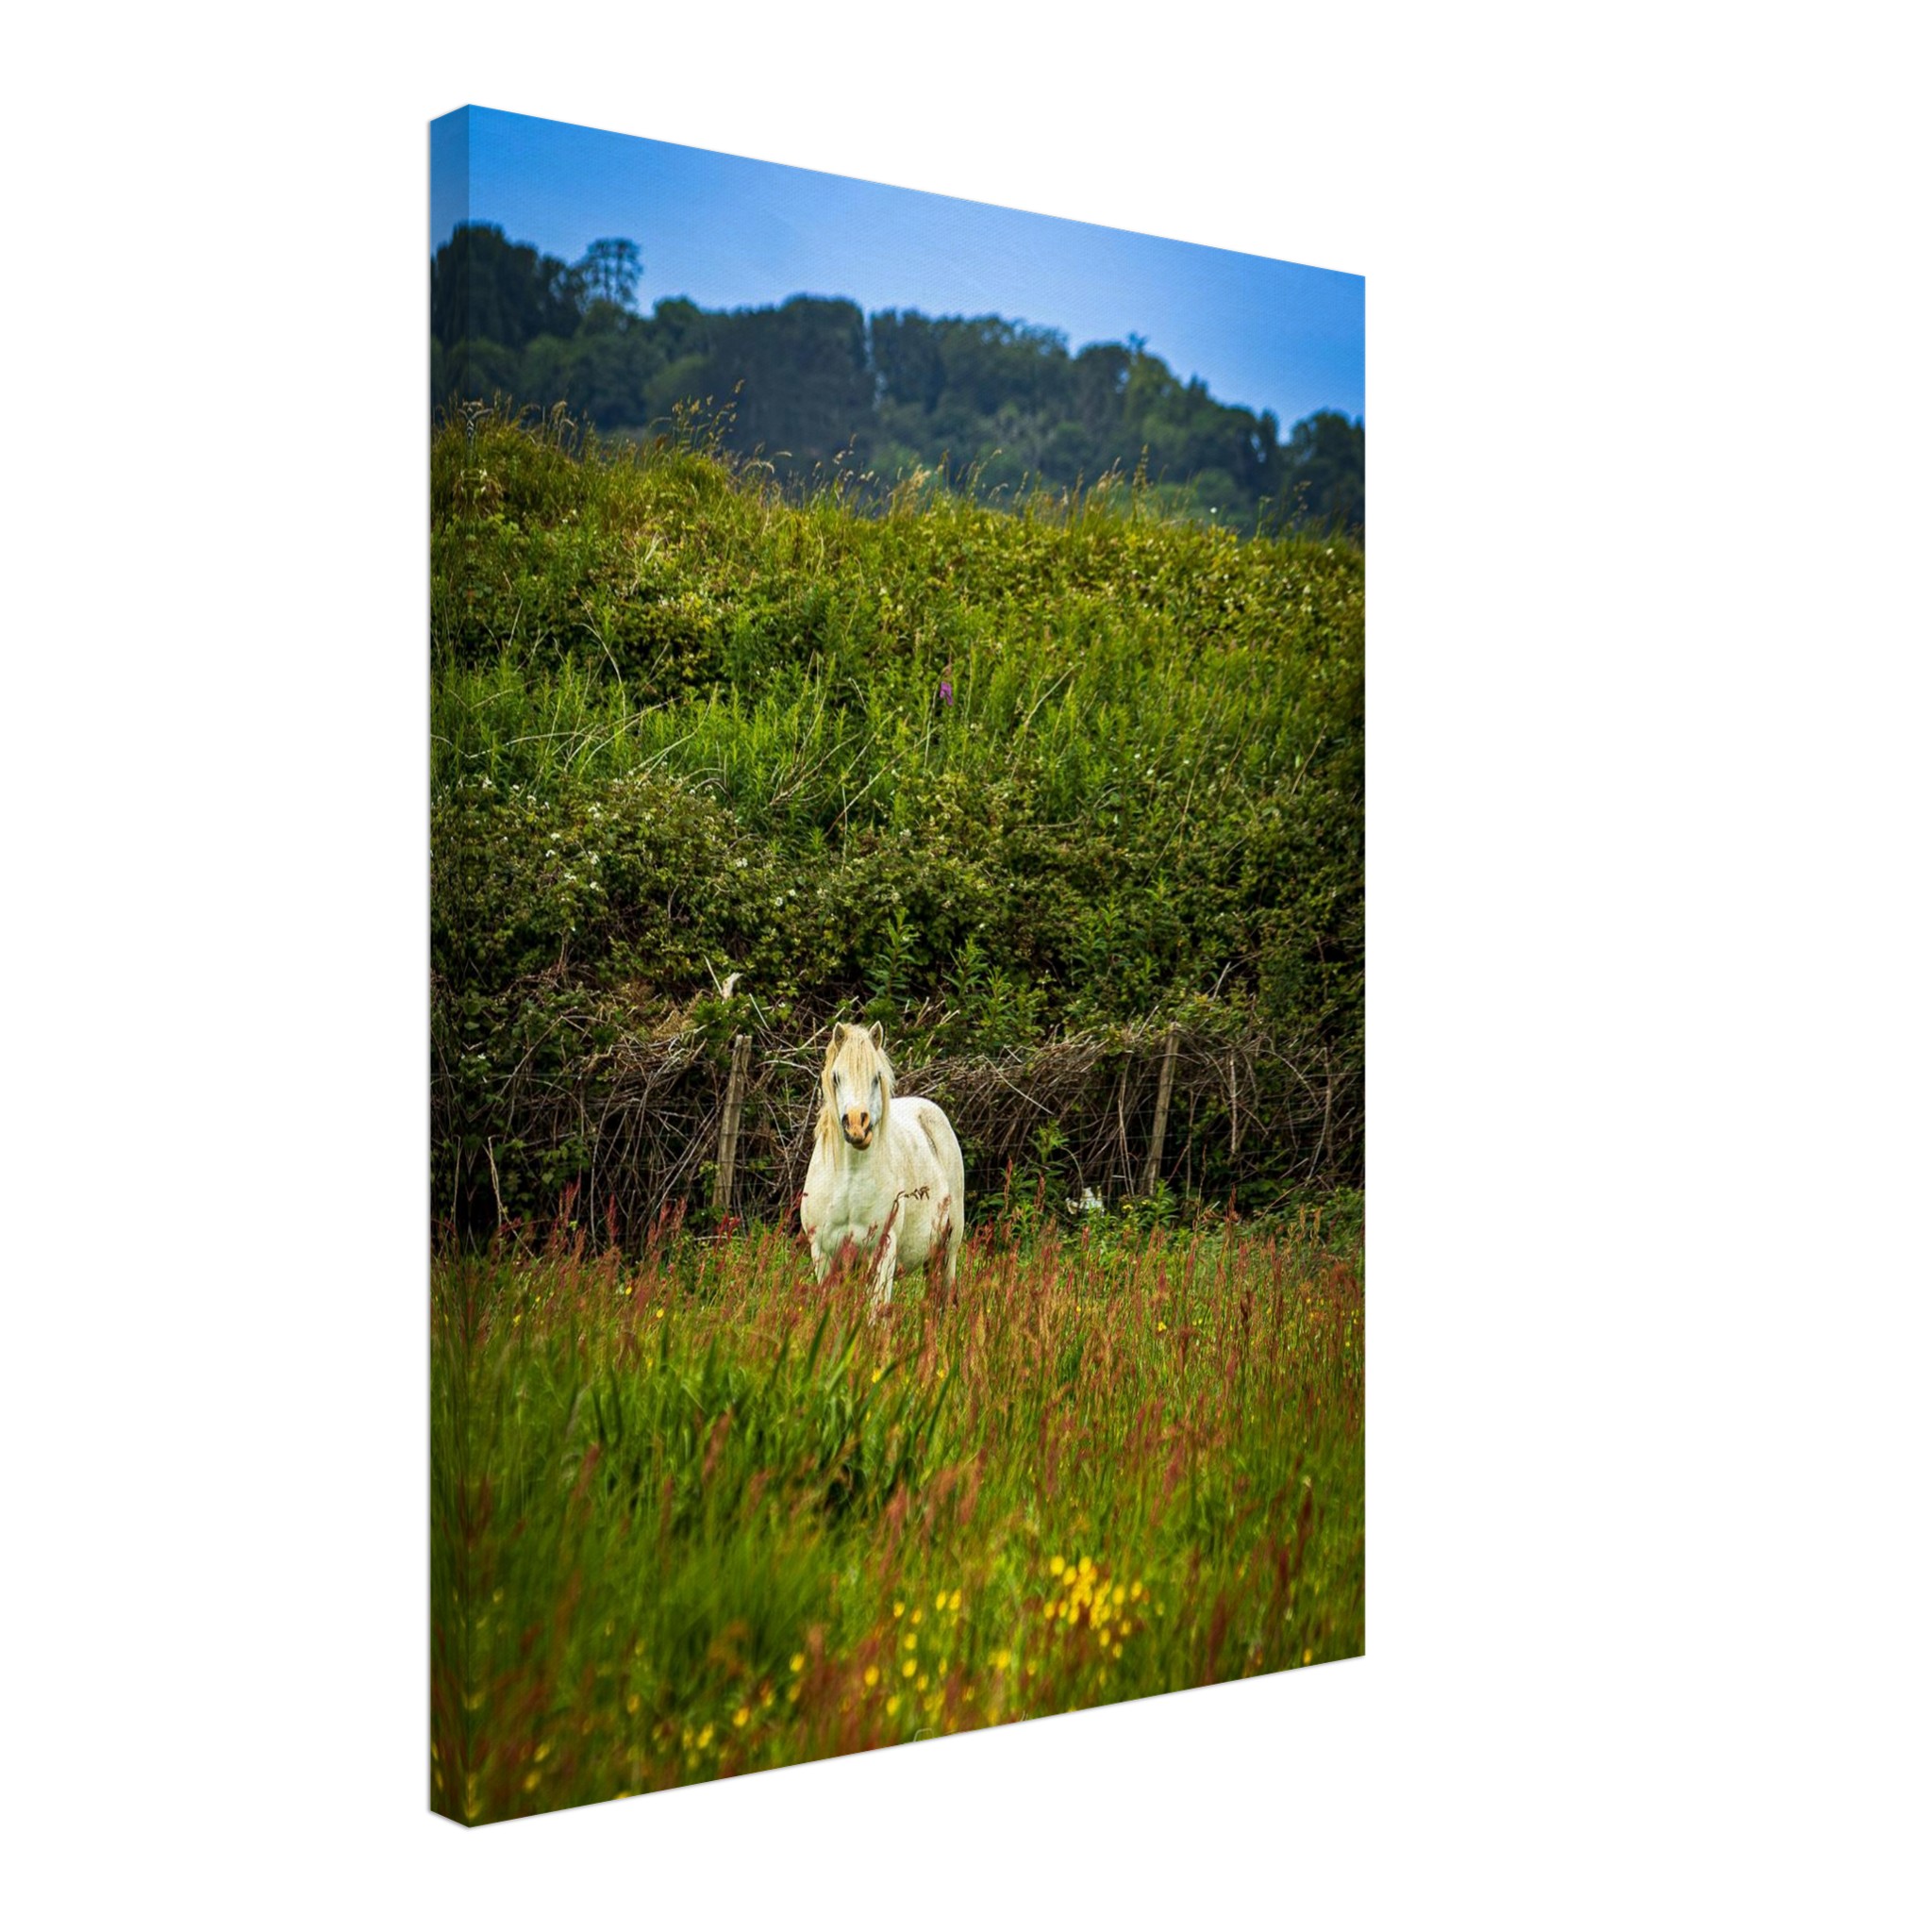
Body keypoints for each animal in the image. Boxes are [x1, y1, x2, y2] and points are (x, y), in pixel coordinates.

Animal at [800, 1021, 966, 1314]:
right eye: (836, 1077)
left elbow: (876, 1313)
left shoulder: (883, 1252)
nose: (856, 1125)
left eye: (876, 1077)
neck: (849, 1181)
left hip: (947, 1251)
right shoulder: (823, 1255)